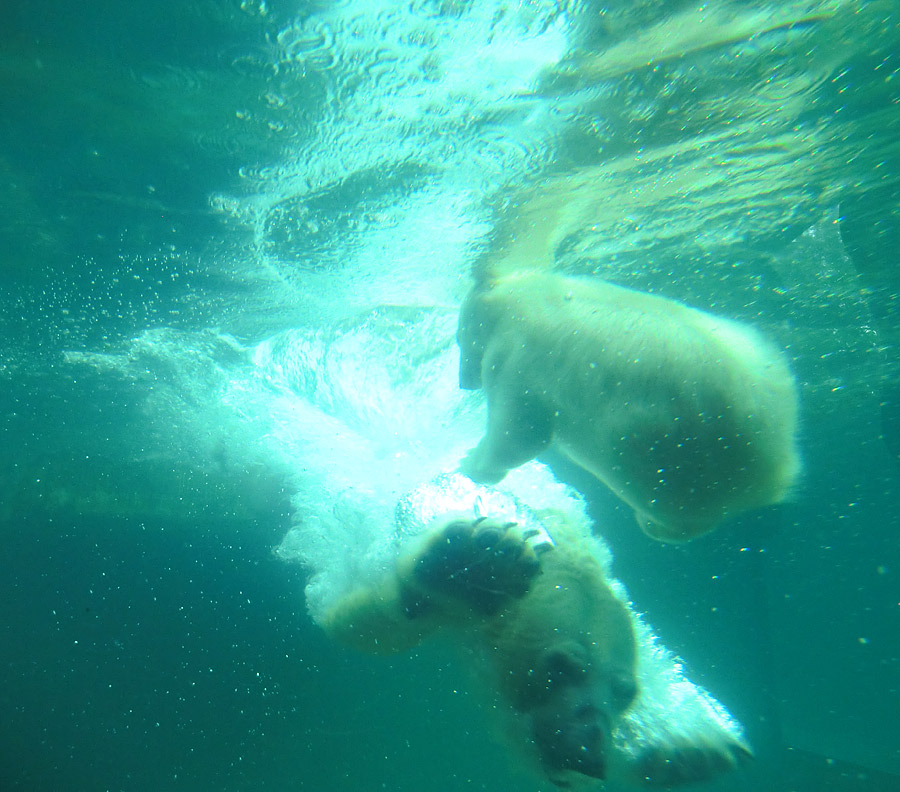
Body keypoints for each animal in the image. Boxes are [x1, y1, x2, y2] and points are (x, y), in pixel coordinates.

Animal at [324, 474, 752, 788]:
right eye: (559, 667)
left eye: (625, 691)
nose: (591, 744)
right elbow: (365, 624)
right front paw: (469, 563)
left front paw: (695, 750)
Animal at [460, 270, 800, 540]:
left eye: (459, 336)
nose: (463, 381)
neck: (517, 299)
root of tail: (777, 466)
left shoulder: (517, 355)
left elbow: (520, 433)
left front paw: (470, 461)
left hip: (662, 456)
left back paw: (653, 524)